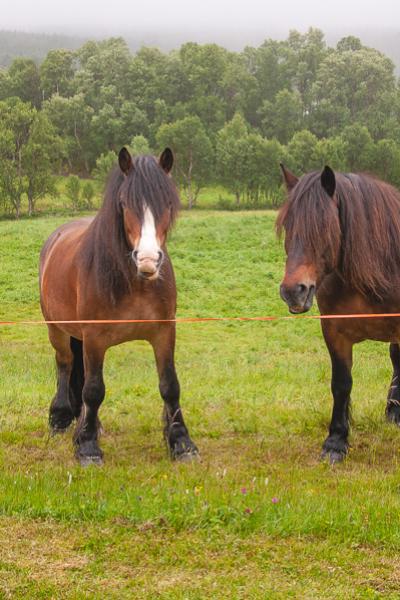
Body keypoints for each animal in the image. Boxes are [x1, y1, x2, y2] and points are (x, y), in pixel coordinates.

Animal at [39, 148, 198, 466]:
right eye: (125, 203)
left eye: (167, 203)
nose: (148, 259)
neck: (134, 282)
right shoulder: (95, 338)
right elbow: (93, 390)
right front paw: (88, 447)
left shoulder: (164, 333)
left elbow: (170, 385)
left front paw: (181, 442)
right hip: (58, 331)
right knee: (65, 365)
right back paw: (61, 418)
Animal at [278, 164, 400, 464]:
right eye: (287, 226)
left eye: (324, 226)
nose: (293, 291)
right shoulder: (335, 333)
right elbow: (341, 384)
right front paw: (336, 442)